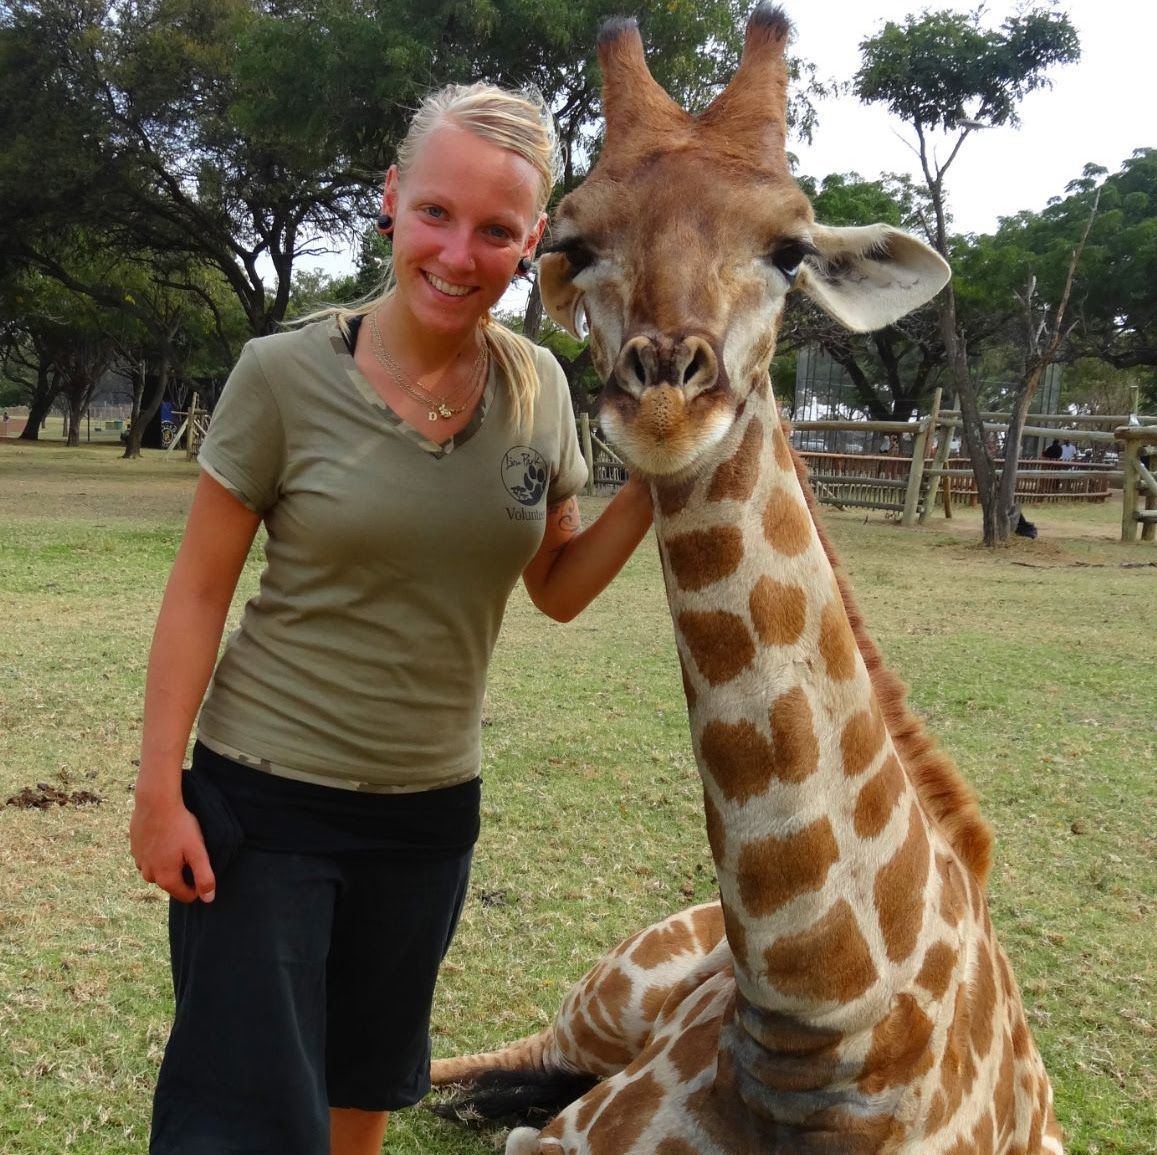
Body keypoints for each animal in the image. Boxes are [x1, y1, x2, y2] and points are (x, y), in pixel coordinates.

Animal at [432, 6, 1064, 1153]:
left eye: (789, 249)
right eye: (574, 242)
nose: (663, 394)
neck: (829, 1032)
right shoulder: (562, 1138)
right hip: (609, 996)